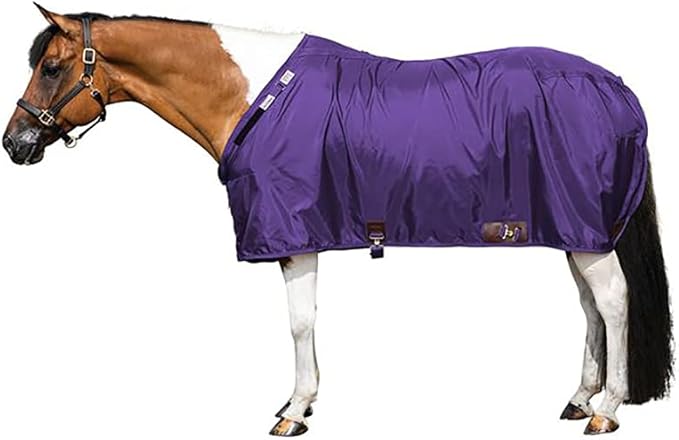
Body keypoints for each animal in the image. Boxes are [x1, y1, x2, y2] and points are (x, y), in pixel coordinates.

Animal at [2, 4, 672, 437]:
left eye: (53, 67)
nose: (15, 143)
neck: (254, 97)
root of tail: (618, 87)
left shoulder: (296, 237)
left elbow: (300, 324)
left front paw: (294, 411)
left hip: (587, 233)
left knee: (613, 302)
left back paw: (607, 408)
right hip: (575, 231)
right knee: (590, 306)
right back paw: (579, 399)